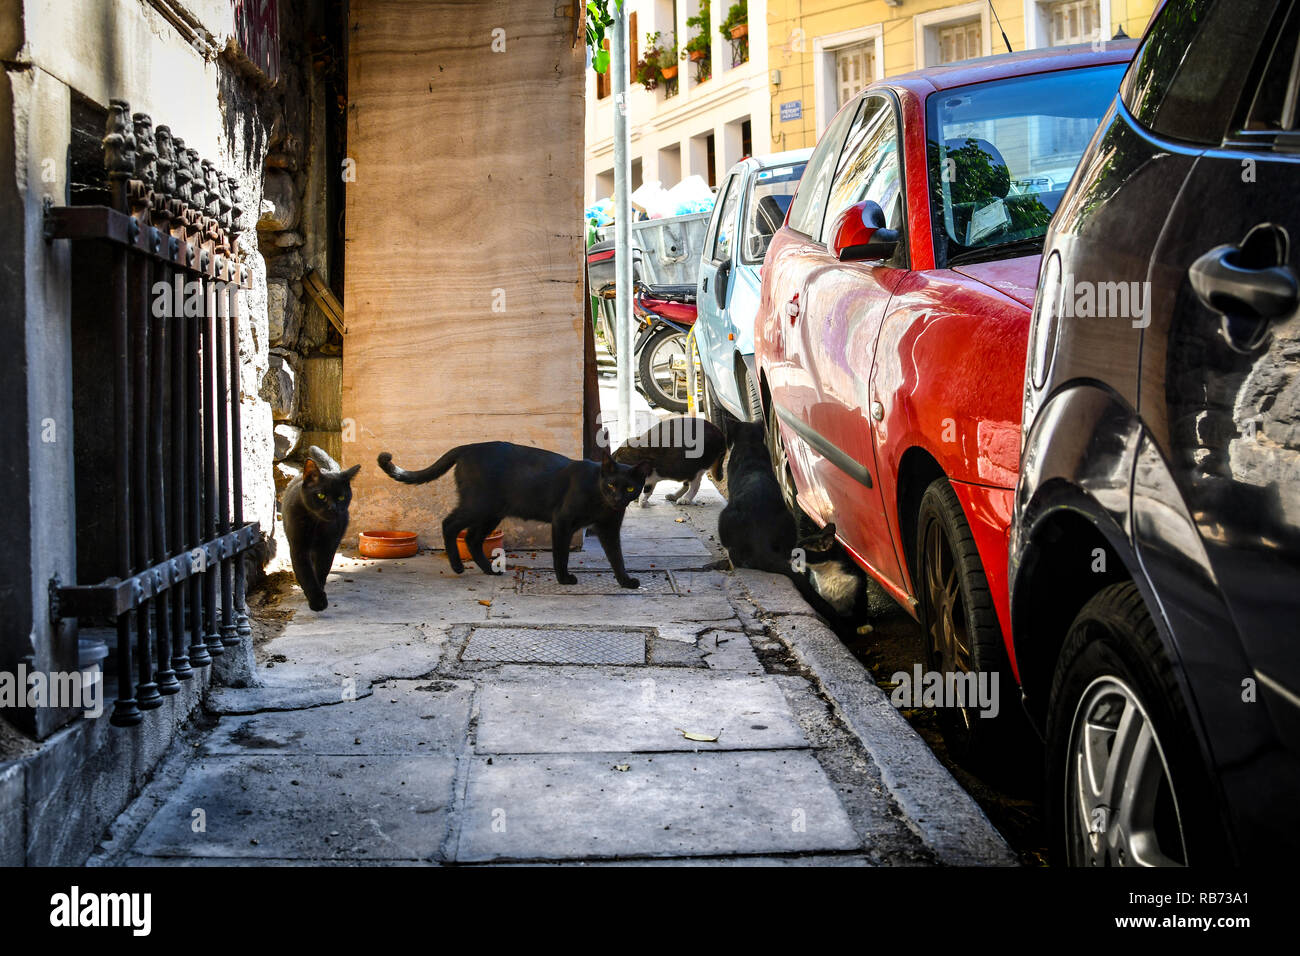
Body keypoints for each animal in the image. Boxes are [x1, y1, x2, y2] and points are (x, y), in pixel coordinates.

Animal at [280, 447, 361, 613]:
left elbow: (321, 570)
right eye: (321, 495)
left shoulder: (328, 547)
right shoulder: (298, 547)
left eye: (341, 497)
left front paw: (320, 593)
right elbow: (306, 573)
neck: (316, 525)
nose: (333, 508)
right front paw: (317, 601)